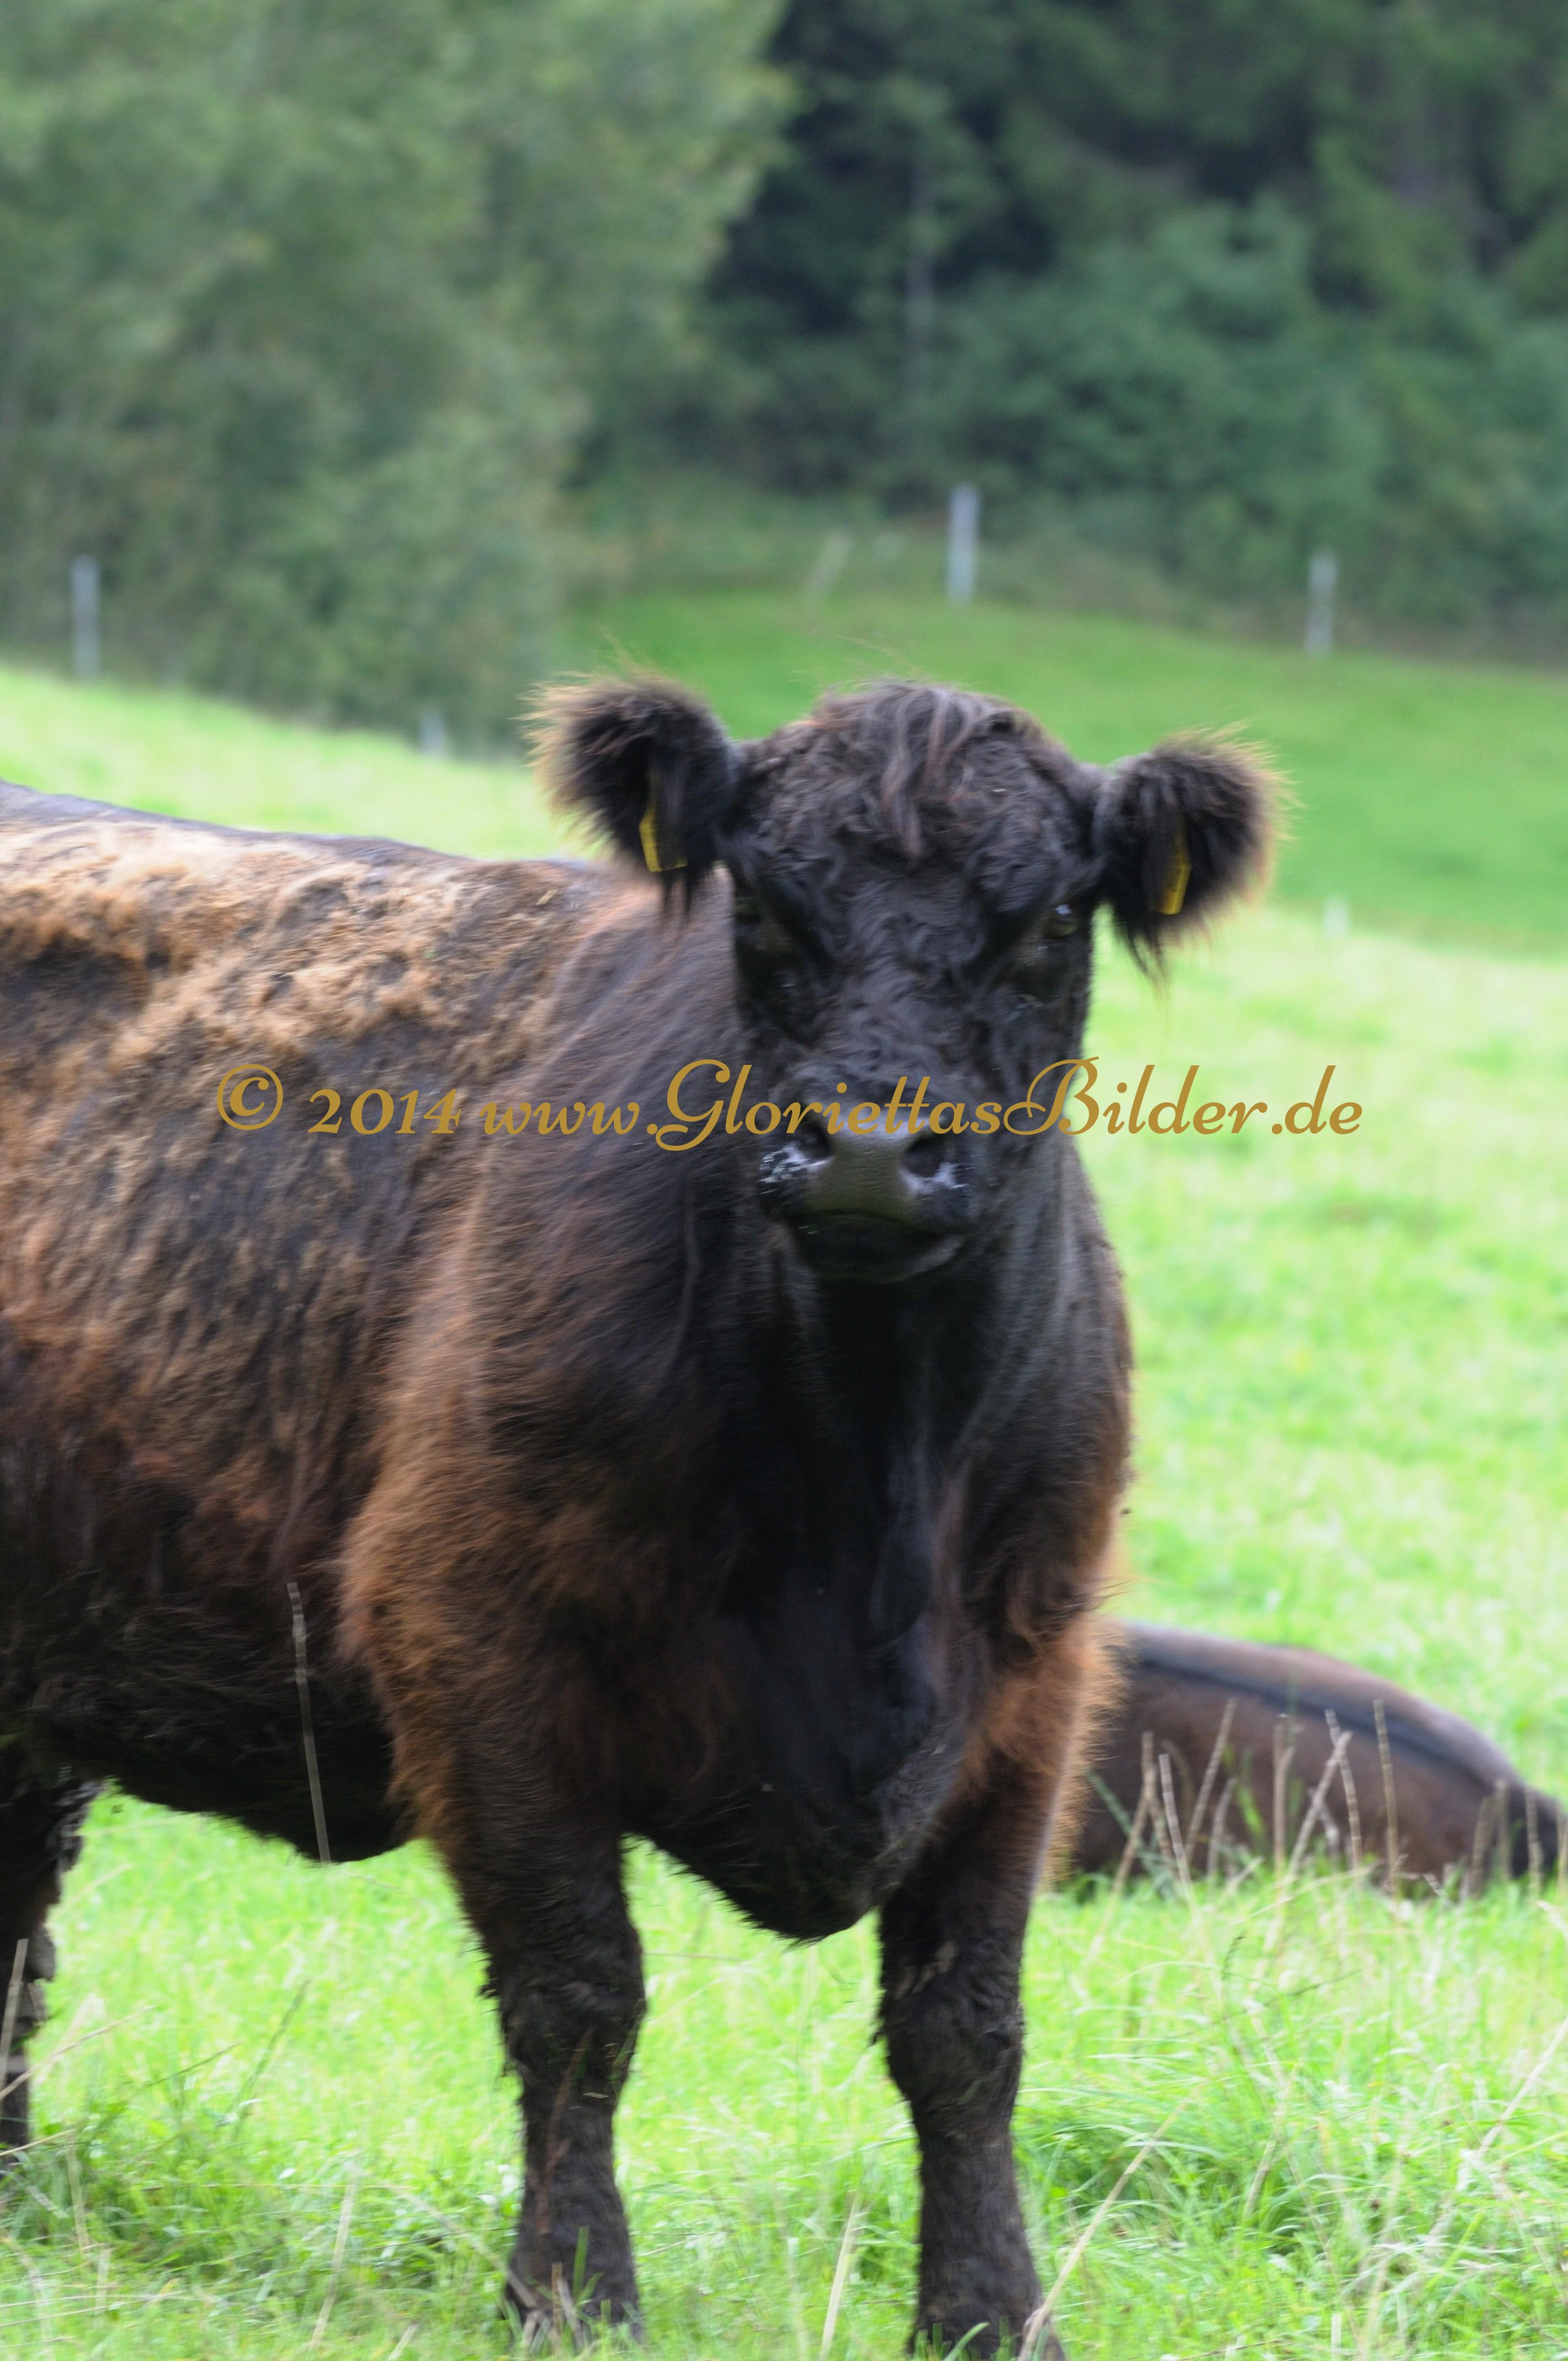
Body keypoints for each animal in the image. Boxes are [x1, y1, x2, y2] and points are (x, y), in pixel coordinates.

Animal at [0, 679, 1273, 2355]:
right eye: (763, 898)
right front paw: (574, 2289)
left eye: (1054, 916)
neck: (875, 1489)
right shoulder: (475, 1645)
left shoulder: (1030, 1689)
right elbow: (581, 1996)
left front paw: (992, 2312)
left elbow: (965, 2031)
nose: (871, 1152)